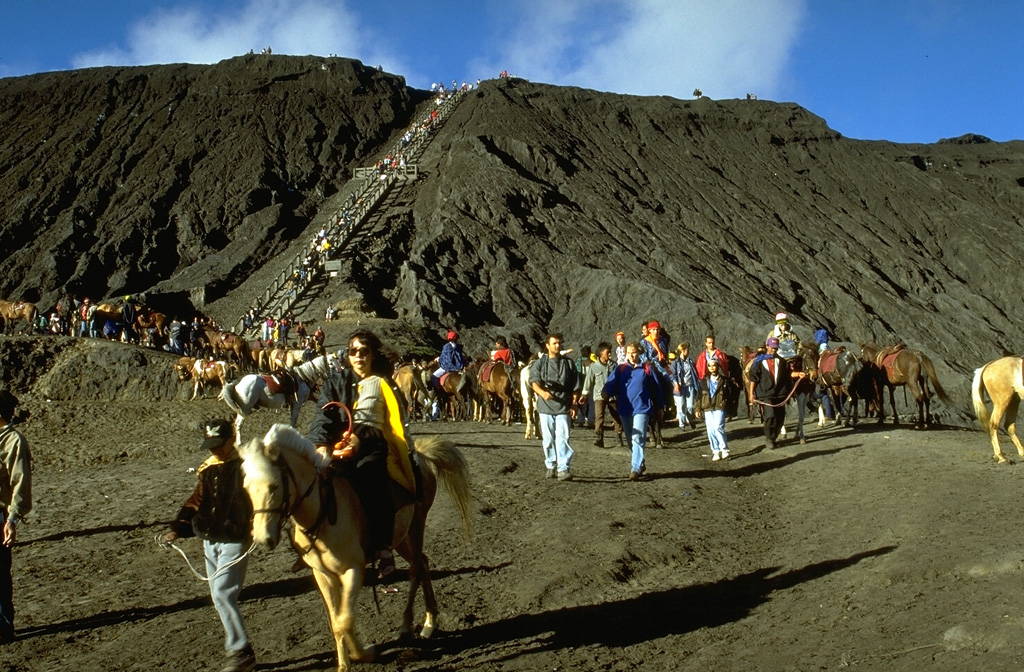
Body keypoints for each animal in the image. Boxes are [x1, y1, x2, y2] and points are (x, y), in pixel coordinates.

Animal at [239, 426, 471, 672]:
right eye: (246, 488)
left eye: (274, 486)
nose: (263, 538)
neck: (324, 512)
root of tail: (419, 456)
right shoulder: (322, 575)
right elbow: (336, 621)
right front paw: (344, 664)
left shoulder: (354, 570)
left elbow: (344, 621)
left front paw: (364, 653)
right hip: (400, 538)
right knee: (424, 563)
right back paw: (427, 622)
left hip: (416, 526)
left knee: (416, 569)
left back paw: (411, 624)